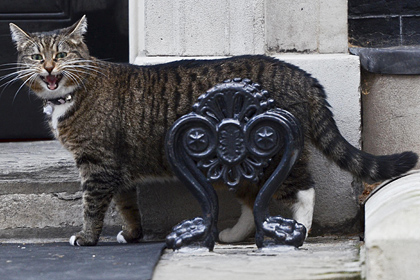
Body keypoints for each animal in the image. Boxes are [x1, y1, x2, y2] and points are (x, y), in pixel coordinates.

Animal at [8, 17, 418, 245]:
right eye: (35, 56)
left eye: (61, 55)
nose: (47, 68)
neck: (71, 94)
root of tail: (300, 73)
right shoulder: (116, 166)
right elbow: (127, 206)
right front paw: (132, 234)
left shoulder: (97, 163)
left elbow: (92, 207)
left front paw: (87, 238)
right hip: (238, 166)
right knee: (252, 201)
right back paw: (234, 235)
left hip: (267, 151)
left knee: (302, 188)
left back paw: (297, 232)